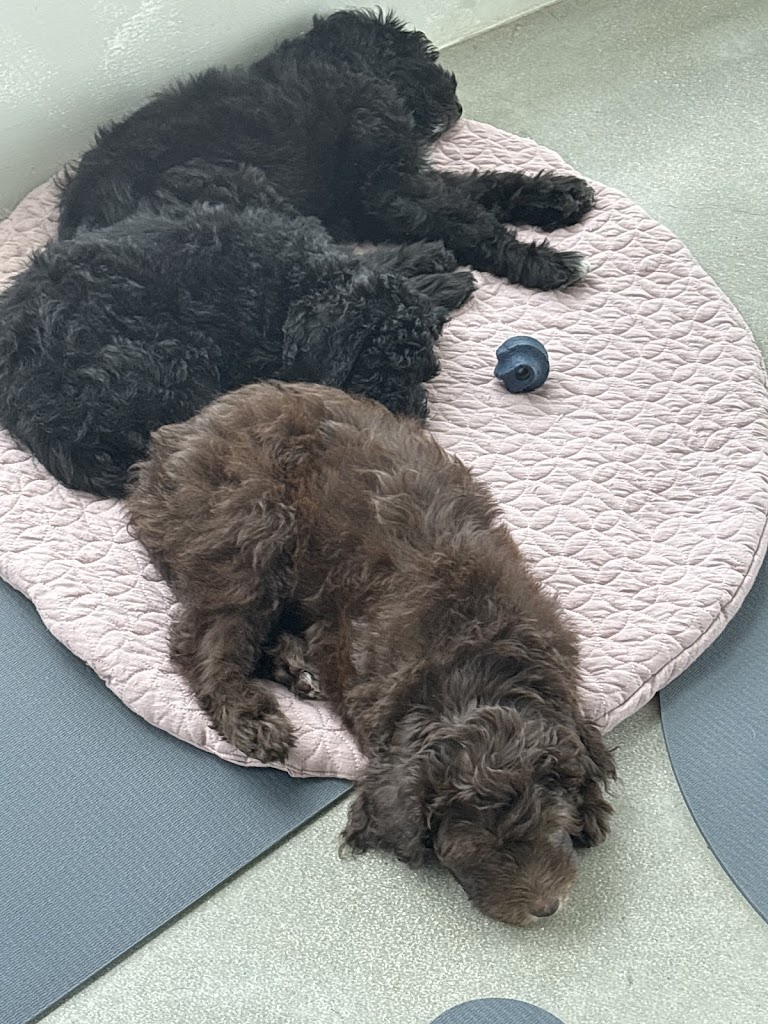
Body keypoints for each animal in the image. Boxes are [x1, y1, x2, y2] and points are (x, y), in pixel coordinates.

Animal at [0, 164, 473, 497]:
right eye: (375, 372)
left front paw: (435, 269)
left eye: (424, 372)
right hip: (175, 361)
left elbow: (375, 262)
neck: (292, 283)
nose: (415, 415)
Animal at [58, 9, 595, 291]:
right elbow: (466, 217)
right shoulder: (387, 188)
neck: (345, 64)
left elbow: (483, 185)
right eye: (426, 57)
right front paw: (535, 259)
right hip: (235, 190)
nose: (458, 103)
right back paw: (428, 263)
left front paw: (557, 196)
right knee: (326, 267)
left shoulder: (397, 178)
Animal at [126, 381, 615, 925]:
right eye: (477, 849)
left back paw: (294, 667)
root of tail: (176, 434)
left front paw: (592, 802)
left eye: (552, 824)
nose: (546, 908)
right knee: (204, 638)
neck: (473, 666)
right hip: (249, 524)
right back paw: (254, 718)